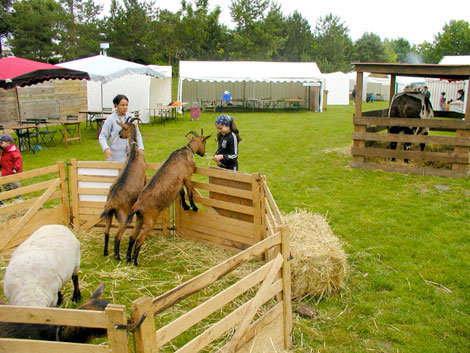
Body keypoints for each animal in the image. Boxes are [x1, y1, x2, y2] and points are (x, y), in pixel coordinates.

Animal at [101, 117, 147, 260]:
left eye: (123, 128)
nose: (120, 135)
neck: (133, 150)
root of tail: (111, 203)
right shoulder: (145, 177)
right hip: (124, 217)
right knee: (117, 236)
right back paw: (117, 256)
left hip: (109, 215)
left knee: (106, 232)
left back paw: (105, 252)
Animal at [126, 129, 211, 264]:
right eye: (205, 142)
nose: (203, 153)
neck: (186, 151)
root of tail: (137, 206)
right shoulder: (187, 177)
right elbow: (190, 193)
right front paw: (194, 207)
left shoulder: (179, 181)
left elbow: (182, 194)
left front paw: (185, 206)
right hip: (149, 221)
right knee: (139, 239)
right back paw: (135, 262)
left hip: (139, 219)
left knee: (132, 236)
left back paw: (128, 258)